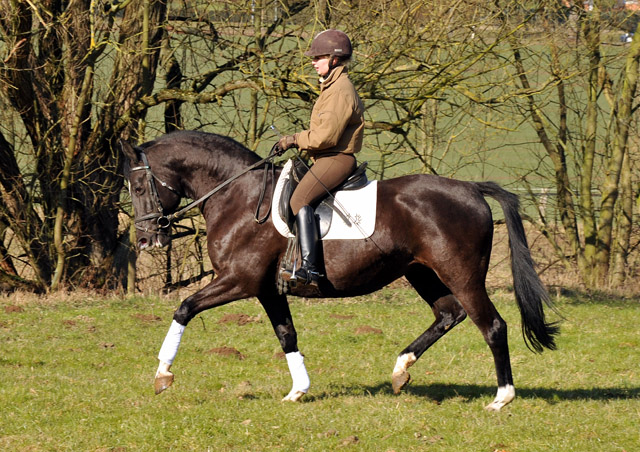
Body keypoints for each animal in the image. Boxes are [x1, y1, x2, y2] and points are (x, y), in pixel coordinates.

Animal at [122, 130, 556, 410]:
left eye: (138, 187)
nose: (144, 240)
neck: (238, 198)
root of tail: (470, 188)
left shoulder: (238, 281)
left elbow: (184, 308)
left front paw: (162, 375)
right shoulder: (268, 289)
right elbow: (287, 335)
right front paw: (298, 391)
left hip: (461, 274)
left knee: (492, 325)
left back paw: (501, 398)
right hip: (422, 272)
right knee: (449, 314)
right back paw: (400, 370)